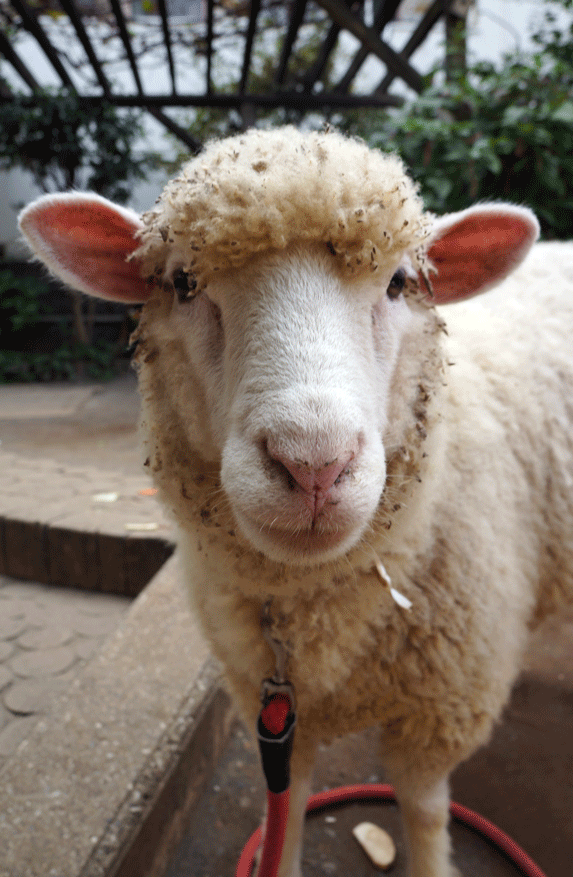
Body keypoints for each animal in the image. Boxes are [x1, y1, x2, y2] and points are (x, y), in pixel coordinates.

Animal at [17, 125, 572, 876]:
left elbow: (424, 809)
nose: (313, 464)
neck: (310, 618)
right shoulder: (275, 709)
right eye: (183, 282)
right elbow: (290, 803)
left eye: (399, 282)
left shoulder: (441, 710)